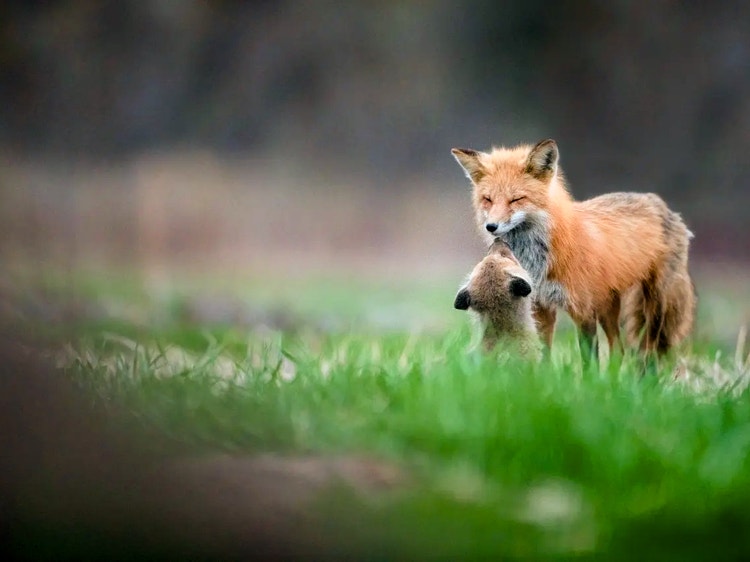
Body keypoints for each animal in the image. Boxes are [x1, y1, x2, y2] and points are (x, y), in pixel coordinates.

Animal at [451, 139, 696, 359]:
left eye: (516, 199)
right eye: (488, 199)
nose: (491, 227)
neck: (538, 260)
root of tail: (658, 202)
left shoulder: (583, 311)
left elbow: (589, 362)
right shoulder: (540, 306)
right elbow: (545, 355)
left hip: (655, 304)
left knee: (650, 349)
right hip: (608, 306)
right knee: (618, 350)